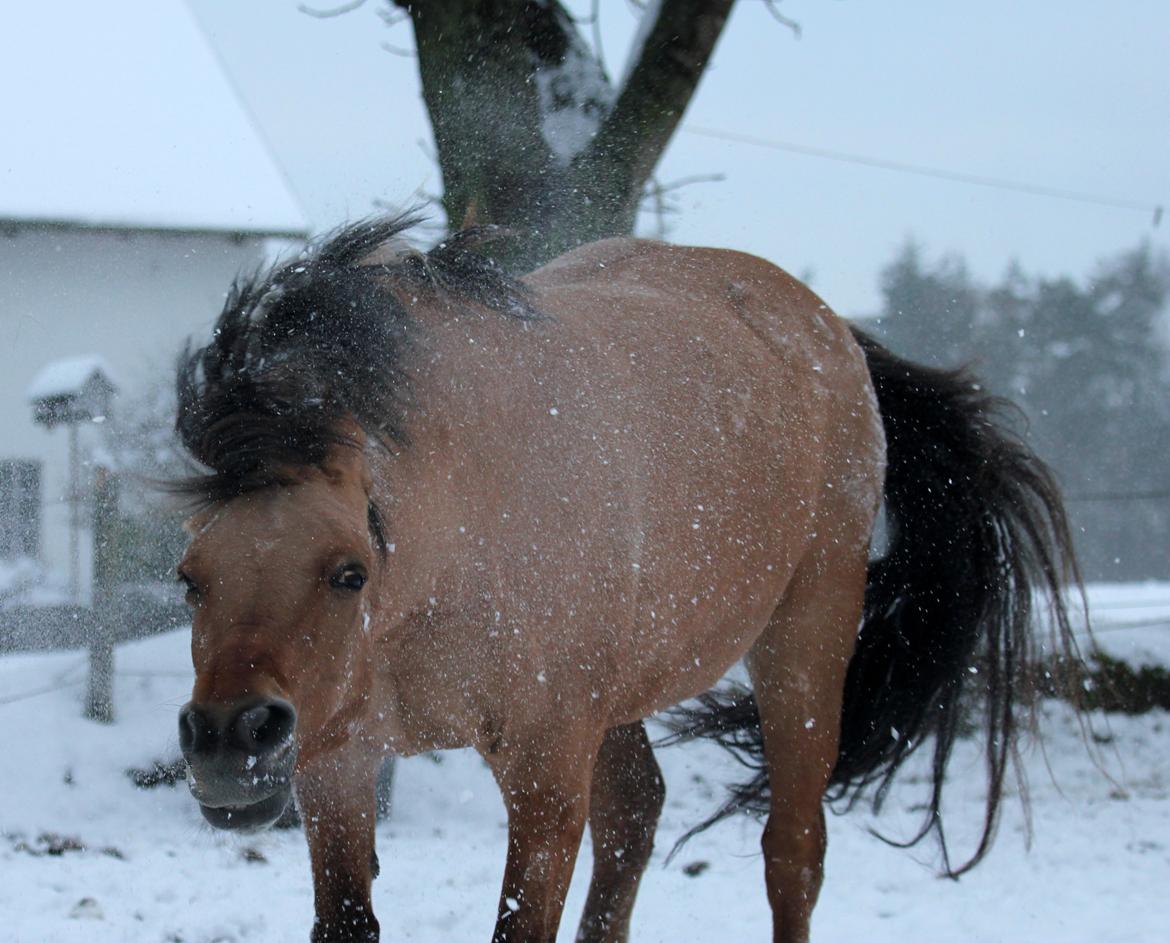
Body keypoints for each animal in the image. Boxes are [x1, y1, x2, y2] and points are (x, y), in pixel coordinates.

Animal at [169, 216, 1081, 943]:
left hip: (804, 650)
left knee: (792, 854)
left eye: (348, 572)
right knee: (639, 814)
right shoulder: (337, 766)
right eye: (190, 577)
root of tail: (836, 335)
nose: (228, 738)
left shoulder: (545, 773)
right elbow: (348, 921)